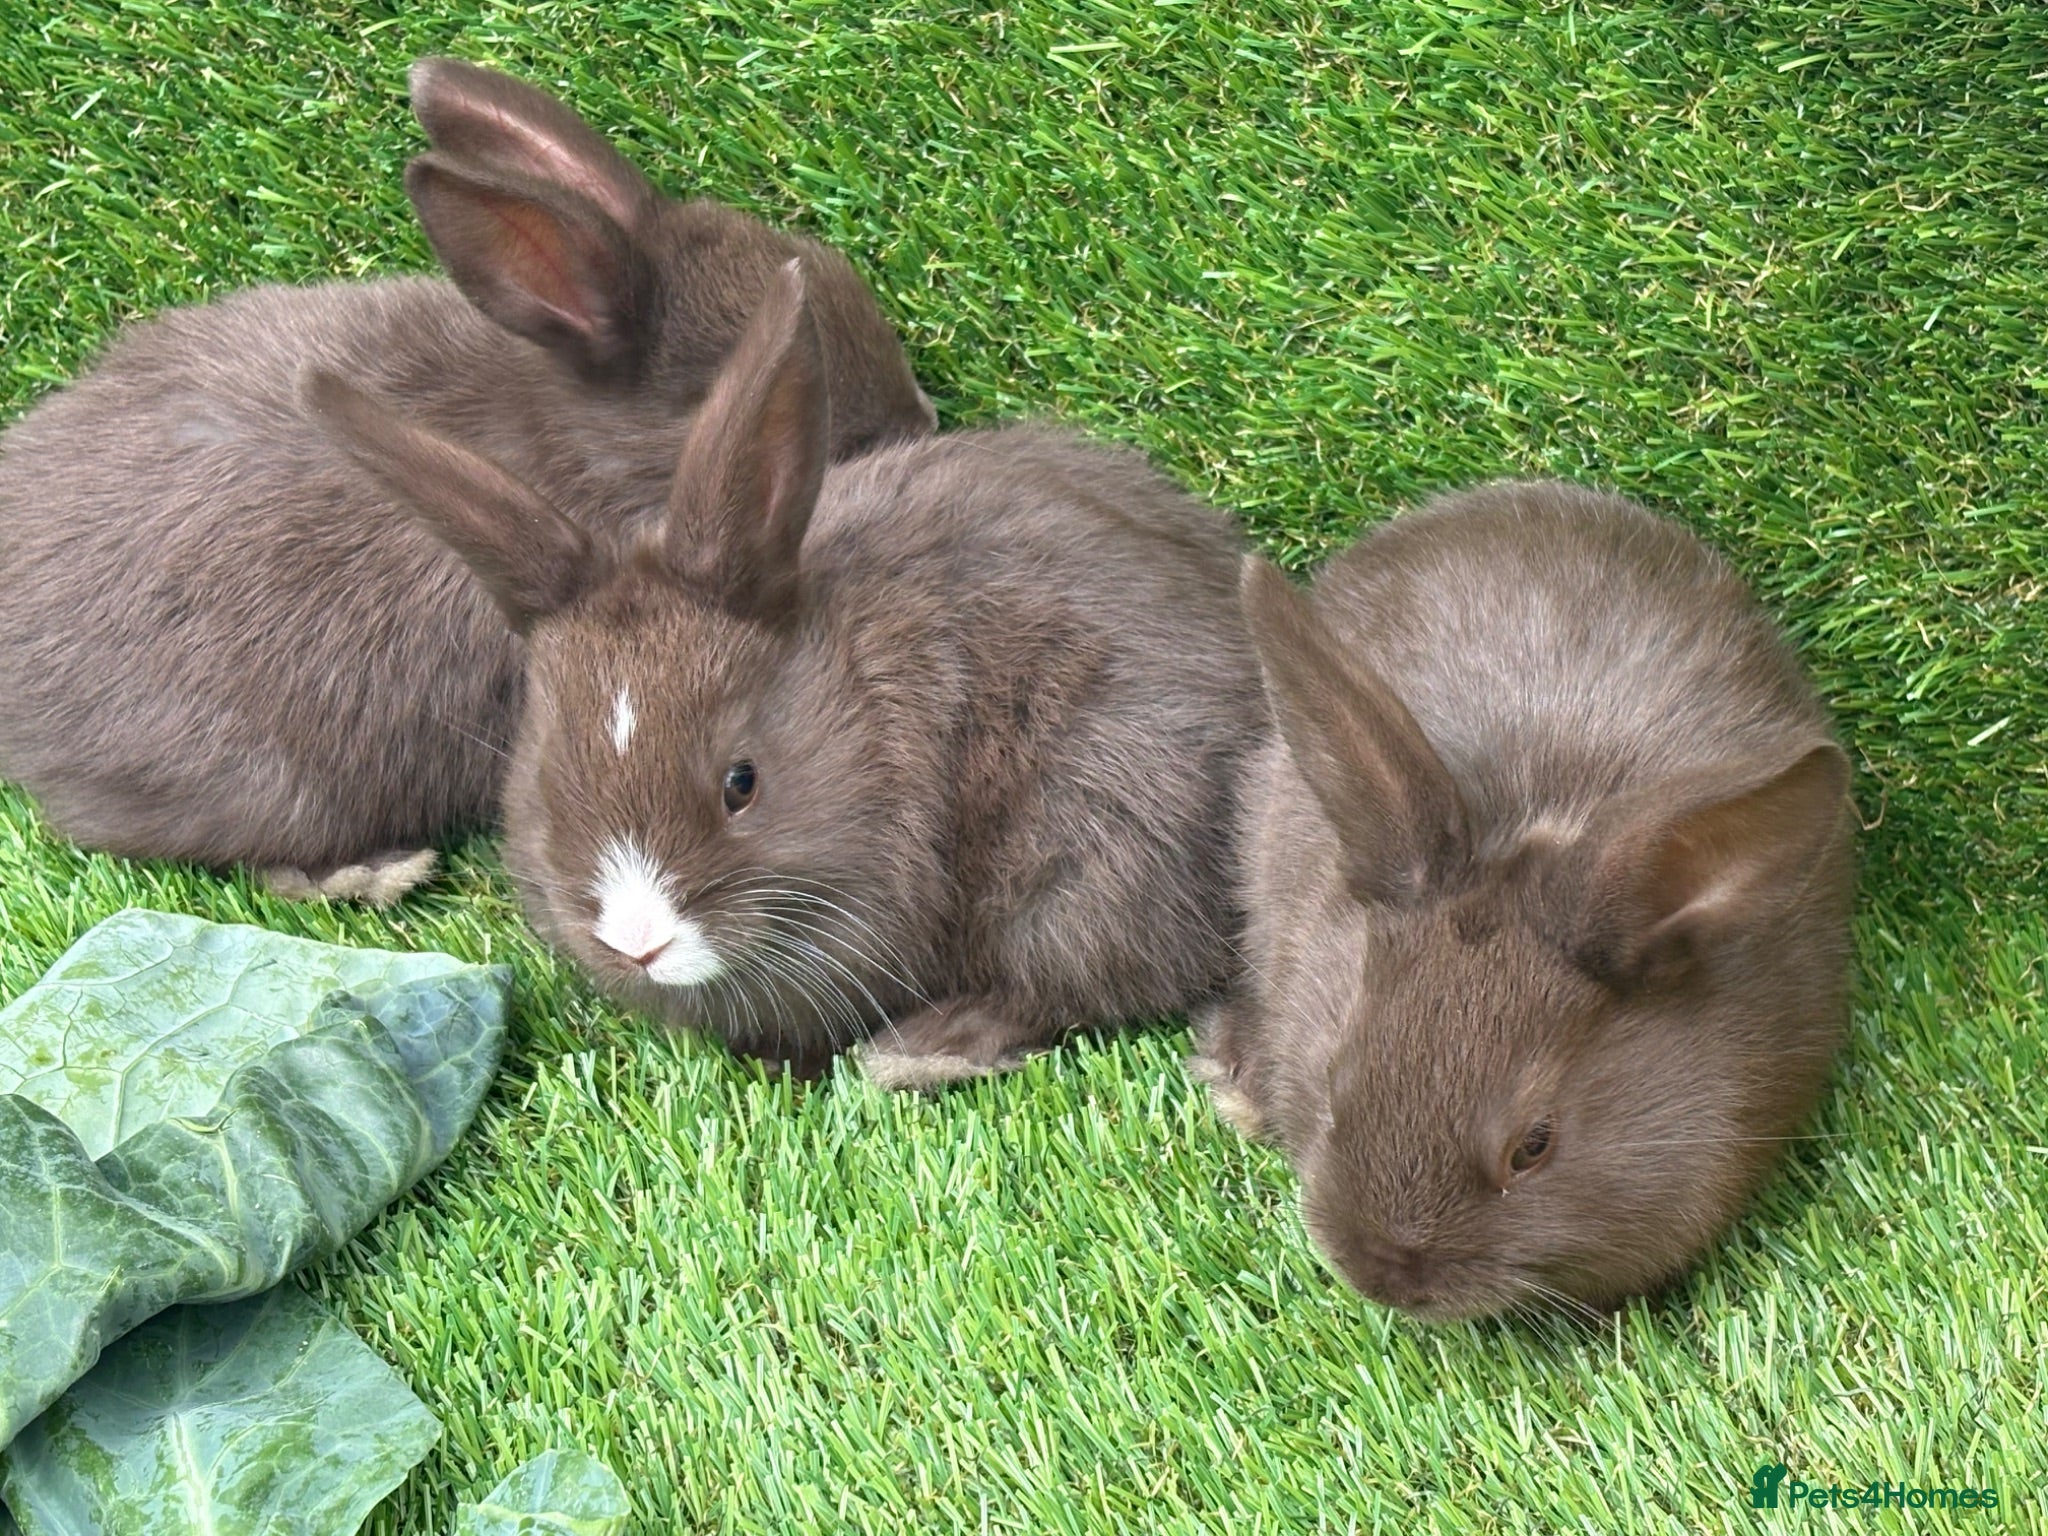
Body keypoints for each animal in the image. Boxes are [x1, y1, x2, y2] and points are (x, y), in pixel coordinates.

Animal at [306, 258, 1264, 1084]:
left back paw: (920, 1052)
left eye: (744, 782)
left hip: (1092, 844)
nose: (639, 942)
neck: (857, 701)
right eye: (544, 783)